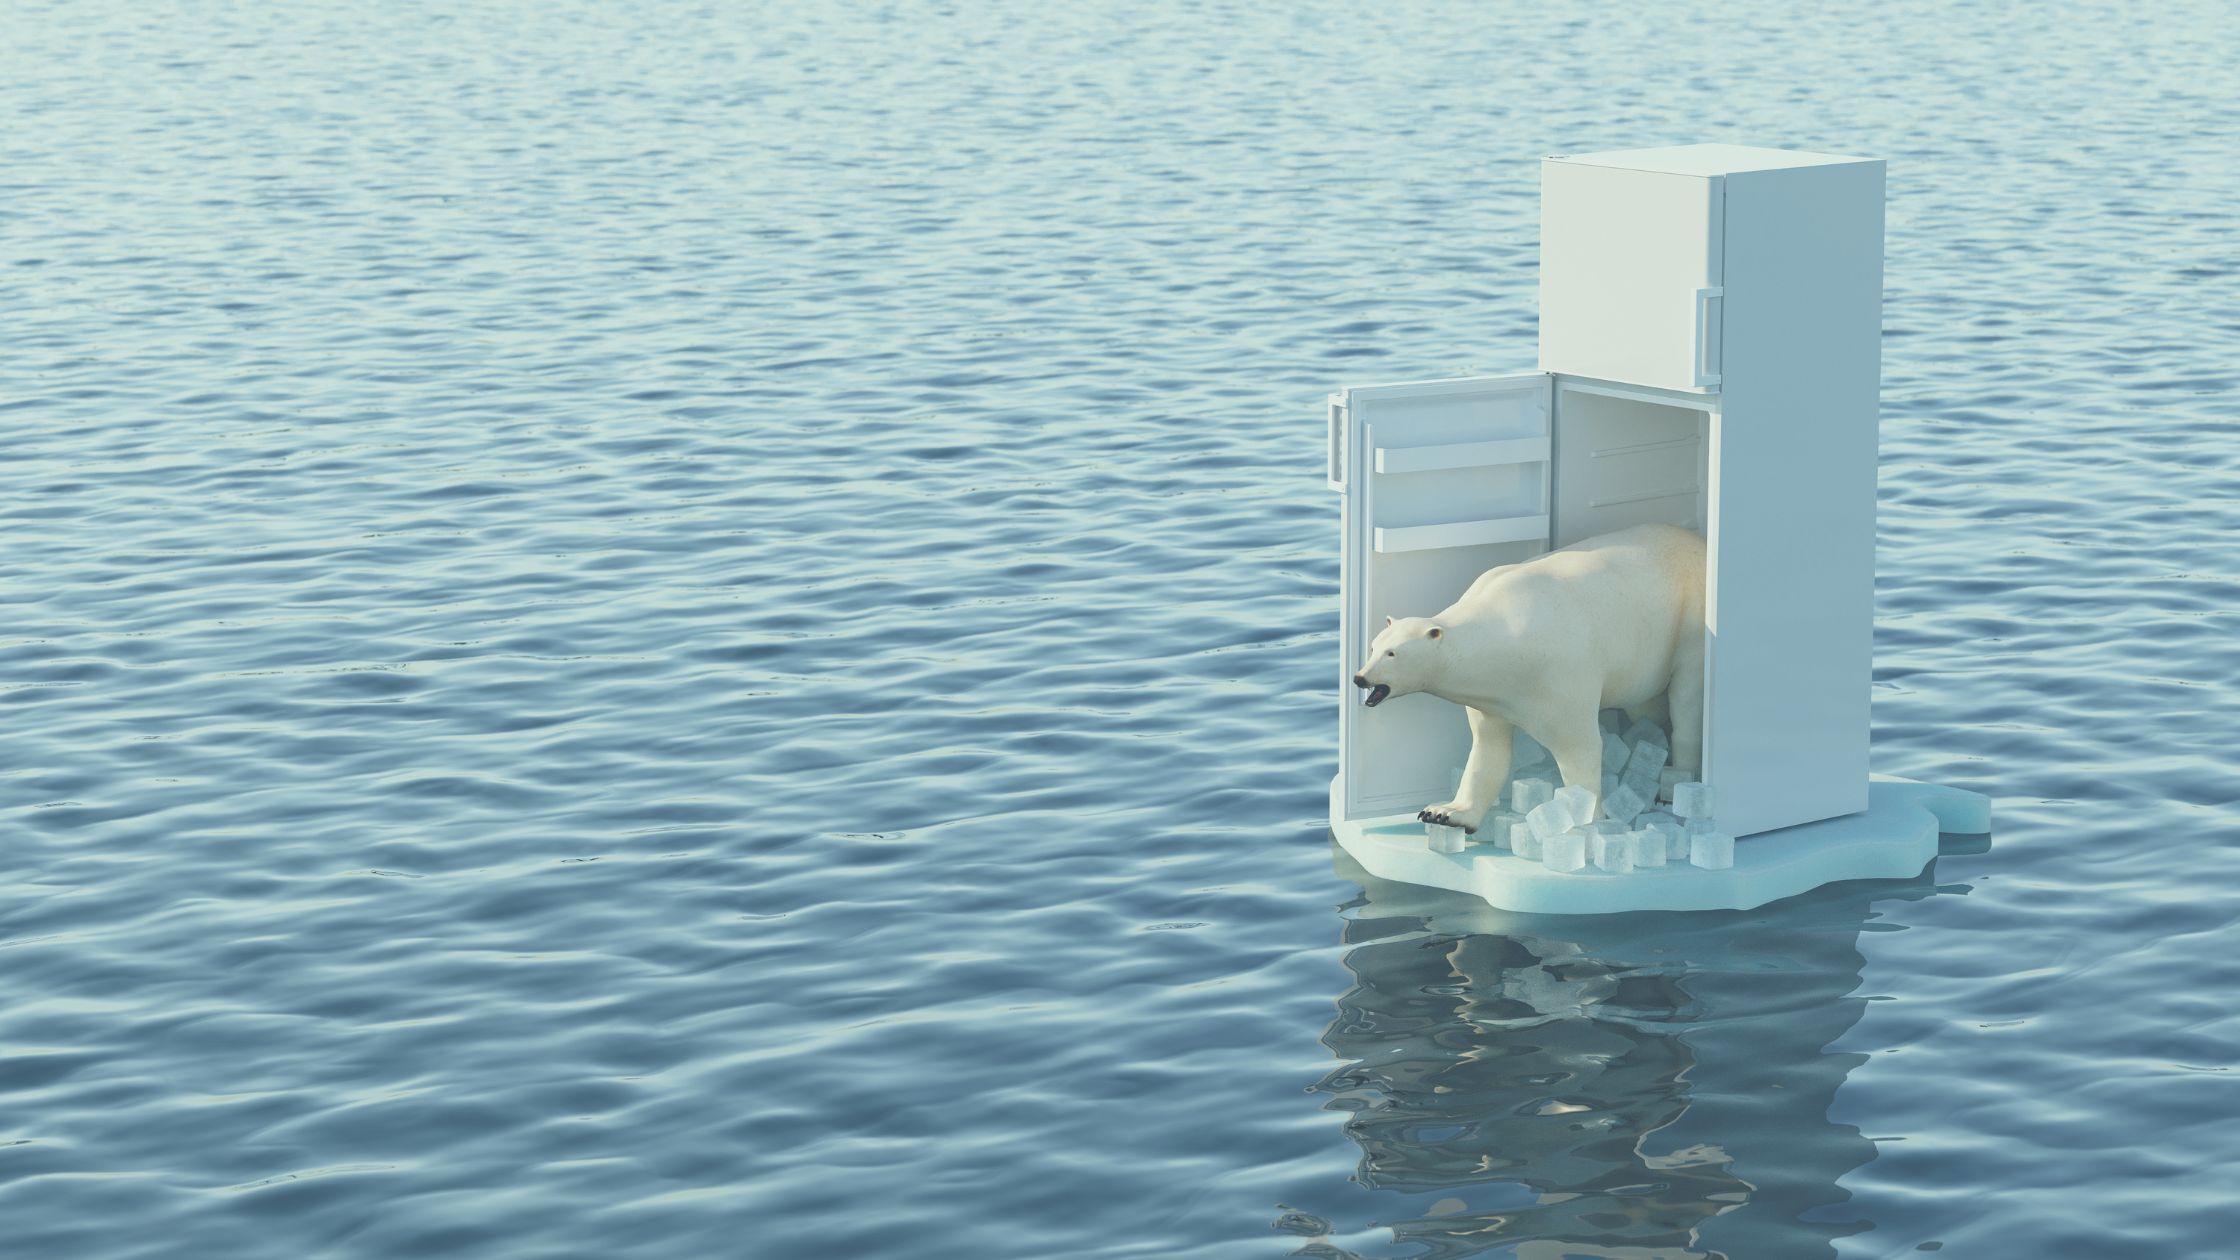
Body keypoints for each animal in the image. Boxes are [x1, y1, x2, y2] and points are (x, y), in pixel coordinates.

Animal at [1352, 522, 1702, 829]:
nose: (1360, 677)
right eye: (1373, 646)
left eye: (1392, 653)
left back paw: (1675, 786)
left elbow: (1581, 747)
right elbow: (1488, 749)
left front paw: (1586, 819)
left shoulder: (1562, 677)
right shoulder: (1489, 696)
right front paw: (1445, 812)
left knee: (1686, 701)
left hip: (1688, 619)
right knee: (1646, 706)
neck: (1505, 636)